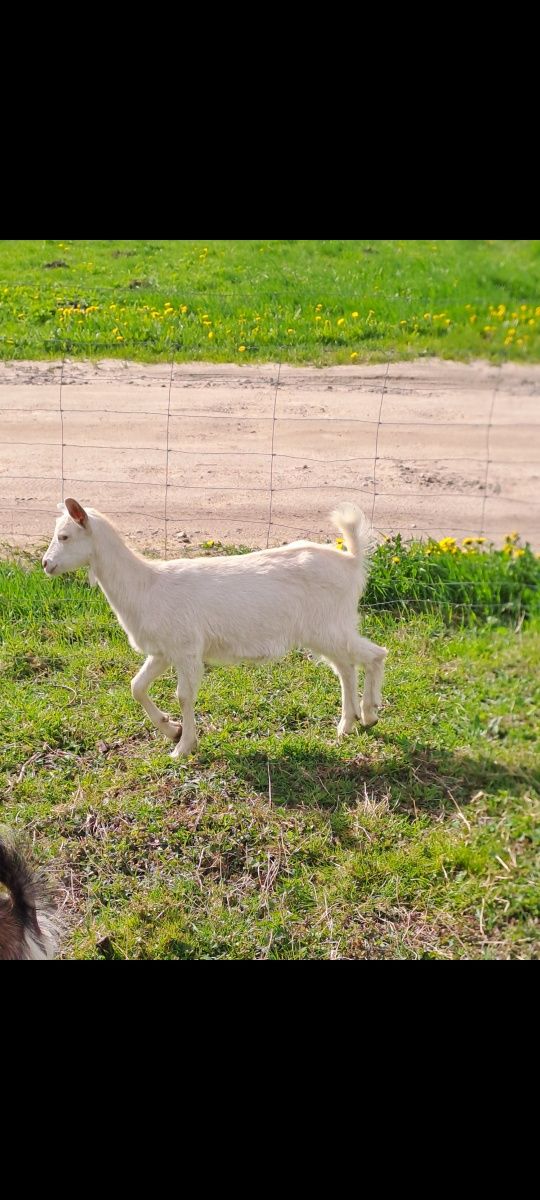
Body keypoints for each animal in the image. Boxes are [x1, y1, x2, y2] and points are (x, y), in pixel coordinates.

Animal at [43, 501, 388, 753]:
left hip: (328, 624)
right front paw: (171, 729)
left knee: (374, 654)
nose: (46, 564)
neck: (146, 585)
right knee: (346, 667)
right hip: (328, 629)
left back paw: (369, 713)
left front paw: (184, 747)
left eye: (64, 536)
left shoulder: (186, 648)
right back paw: (347, 724)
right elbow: (136, 686)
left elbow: (183, 695)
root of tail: (352, 561)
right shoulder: (163, 650)